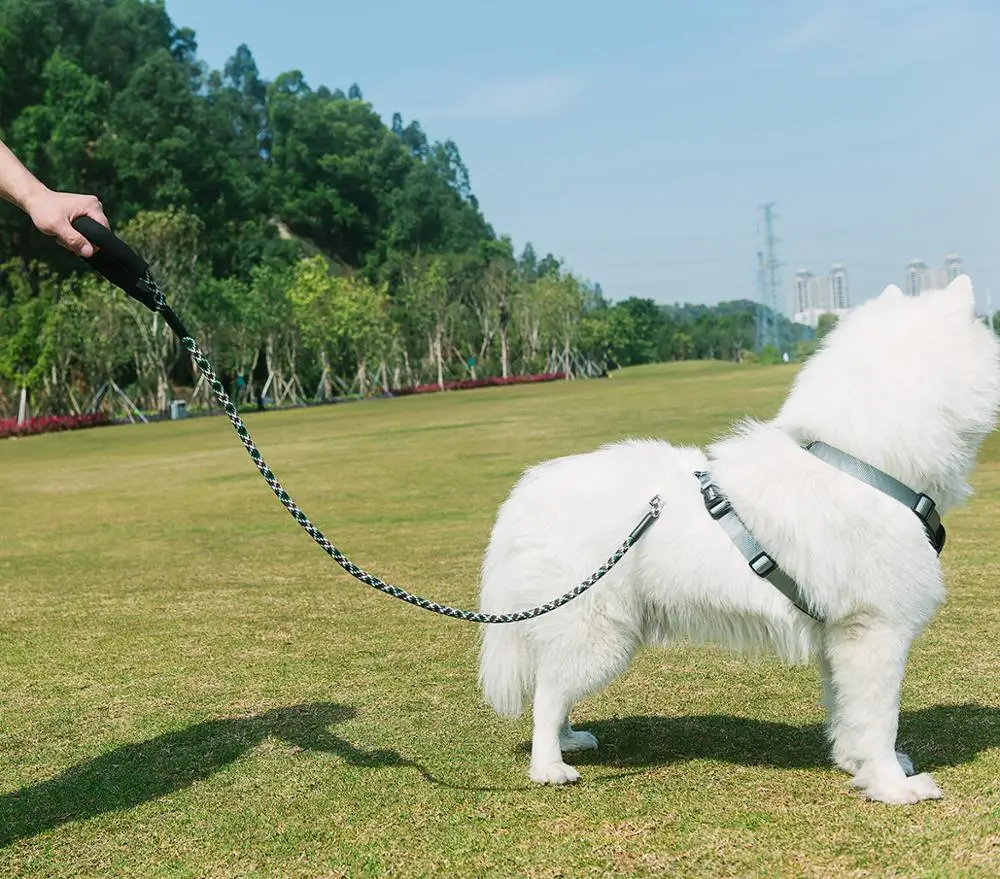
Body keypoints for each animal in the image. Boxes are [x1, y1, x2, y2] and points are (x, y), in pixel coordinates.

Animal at [476, 276, 1000, 804]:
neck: (860, 465)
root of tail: (526, 494)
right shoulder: (875, 630)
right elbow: (880, 719)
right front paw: (893, 785)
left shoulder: (840, 638)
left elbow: (848, 714)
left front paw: (856, 765)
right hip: (597, 634)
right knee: (547, 695)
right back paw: (549, 766)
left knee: (555, 689)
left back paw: (569, 740)